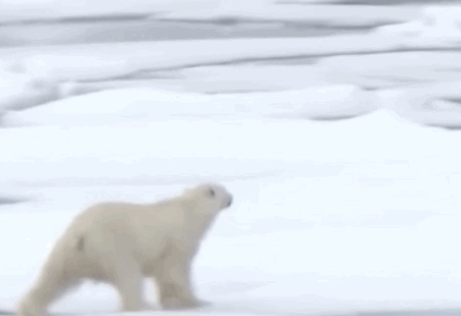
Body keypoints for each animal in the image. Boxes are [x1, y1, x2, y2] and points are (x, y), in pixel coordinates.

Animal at [17, 183, 234, 316]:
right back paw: (142, 306)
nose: (232, 198)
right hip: (113, 246)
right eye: (222, 190)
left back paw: (31, 307)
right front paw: (196, 302)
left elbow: (164, 275)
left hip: (68, 252)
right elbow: (175, 272)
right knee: (128, 277)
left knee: (55, 278)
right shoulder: (178, 240)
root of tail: (80, 232)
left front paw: (173, 302)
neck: (189, 210)